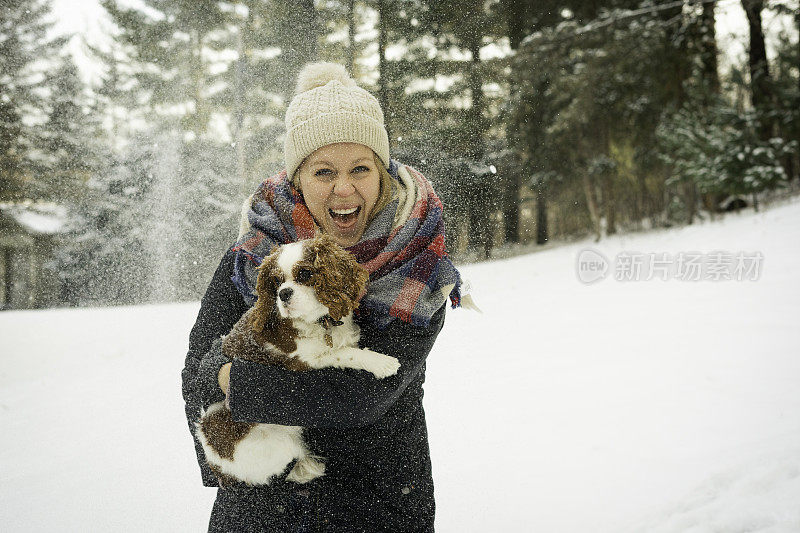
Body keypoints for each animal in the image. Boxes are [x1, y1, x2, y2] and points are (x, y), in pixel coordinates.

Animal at [195, 234, 400, 486]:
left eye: (304, 273)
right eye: (276, 281)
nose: (283, 293)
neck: (319, 321)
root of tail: (218, 467)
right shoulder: (301, 361)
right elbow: (345, 353)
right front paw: (382, 363)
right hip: (278, 441)